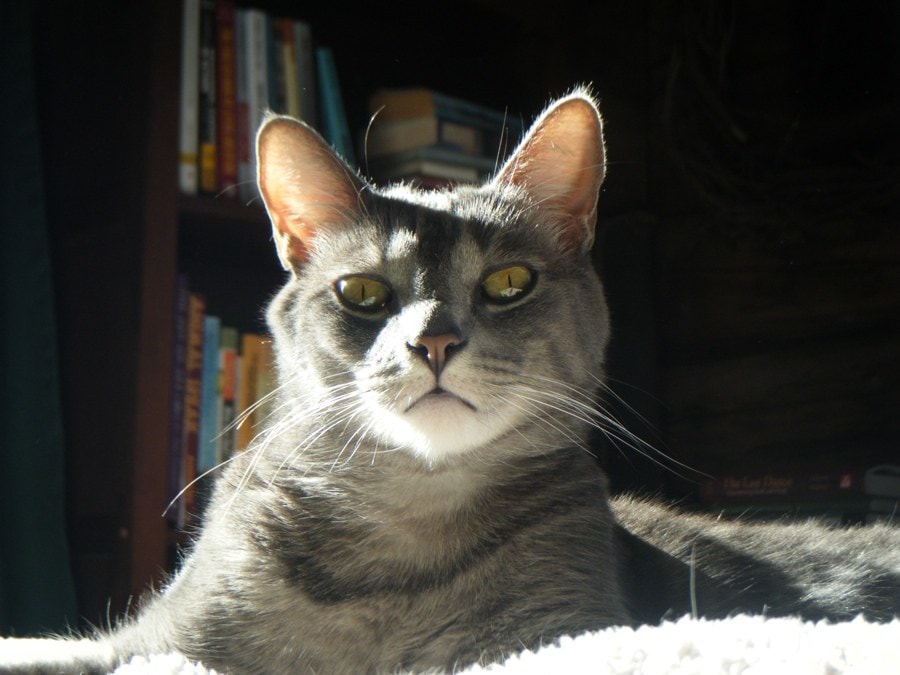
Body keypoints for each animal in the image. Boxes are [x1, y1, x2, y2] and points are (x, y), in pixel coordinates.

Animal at [1, 91, 900, 675]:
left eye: (507, 282)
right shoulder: (153, 644)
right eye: (362, 292)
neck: (397, 553)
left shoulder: (556, 630)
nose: (433, 340)